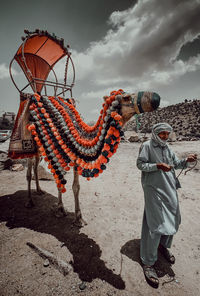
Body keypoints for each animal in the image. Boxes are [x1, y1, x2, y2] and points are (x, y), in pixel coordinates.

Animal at [8, 29, 160, 224]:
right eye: (126, 97)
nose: (155, 97)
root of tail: (36, 93)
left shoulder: (71, 156)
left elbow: (74, 186)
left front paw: (78, 217)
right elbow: (60, 180)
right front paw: (61, 210)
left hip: (40, 149)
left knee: (35, 167)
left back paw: (40, 191)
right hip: (28, 147)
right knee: (28, 171)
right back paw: (29, 201)